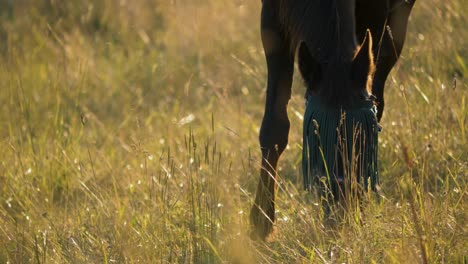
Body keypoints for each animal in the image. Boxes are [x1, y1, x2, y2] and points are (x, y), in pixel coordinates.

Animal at [250, 0, 414, 239]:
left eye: (365, 138)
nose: (340, 215)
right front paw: (261, 221)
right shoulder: (272, 16)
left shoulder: (377, 12)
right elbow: (274, 128)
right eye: (316, 137)